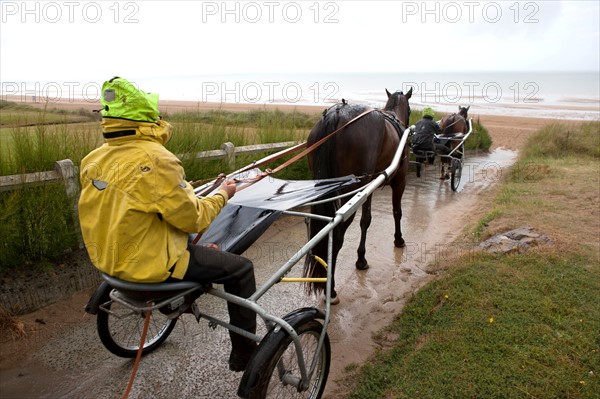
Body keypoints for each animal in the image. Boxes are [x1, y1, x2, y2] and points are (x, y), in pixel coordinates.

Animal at [300, 87, 412, 300]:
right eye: (410, 110)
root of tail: (337, 114)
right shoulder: (399, 180)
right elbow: (397, 212)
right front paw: (399, 239)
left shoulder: (369, 187)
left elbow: (366, 220)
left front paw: (361, 259)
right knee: (336, 233)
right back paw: (331, 288)